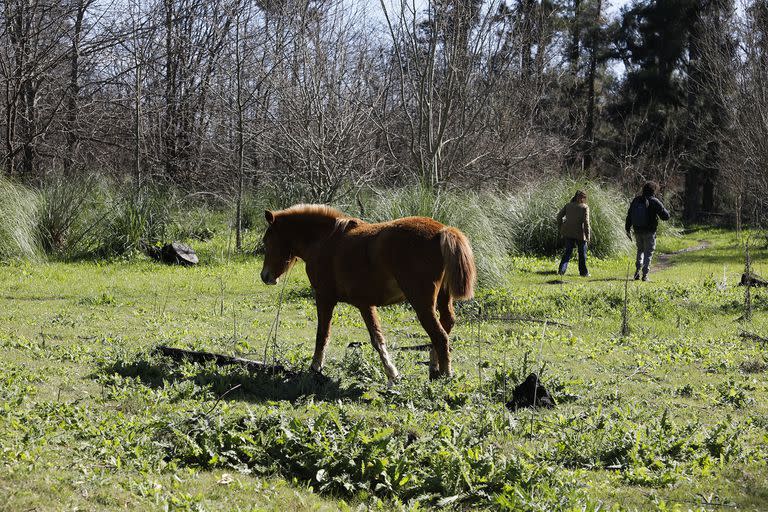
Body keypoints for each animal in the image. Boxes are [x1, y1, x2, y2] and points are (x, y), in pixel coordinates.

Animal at [260, 206, 474, 382]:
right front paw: (392, 374)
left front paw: (315, 368)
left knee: (440, 336)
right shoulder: (365, 304)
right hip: (443, 299)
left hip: (422, 304)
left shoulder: (324, 298)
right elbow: (377, 338)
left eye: (267, 240)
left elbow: (323, 334)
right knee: (446, 325)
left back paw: (445, 375)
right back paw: (434, 369)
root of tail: (441, 231)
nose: (265, 276)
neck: (325, 240)